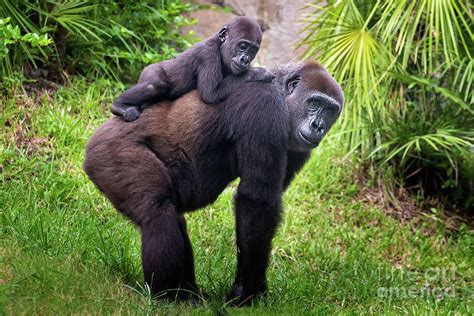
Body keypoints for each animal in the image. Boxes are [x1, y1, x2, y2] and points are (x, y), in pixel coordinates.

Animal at [84, 60, 344, 304]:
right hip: (109, 153)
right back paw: (167, 296)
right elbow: (257, 202)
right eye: (314, 103)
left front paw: (254, 289)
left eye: (330, 110)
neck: (282, 92)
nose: (318, 126)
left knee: (173, 218)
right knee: (156, 212)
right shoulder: (265, 106)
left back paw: (187, 293)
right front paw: (247, 292)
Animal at [111, 15, 272, 122]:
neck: (220, 45)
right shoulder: (207, 54)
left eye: (253, 50)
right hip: (149, 70)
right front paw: (258, 73)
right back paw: (118, 105)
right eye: (242, 46)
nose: (245, 59)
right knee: (155, 85)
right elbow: (210, 94)